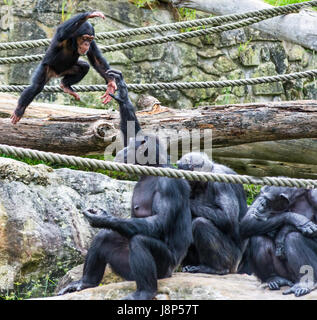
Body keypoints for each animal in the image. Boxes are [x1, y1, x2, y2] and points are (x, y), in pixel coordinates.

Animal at [58, 69, 193, 300]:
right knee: (105, 238)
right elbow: (132, 127)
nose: (123, 151)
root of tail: (173, 272)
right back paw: (85, 283)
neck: (153, 169)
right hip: (125, 268)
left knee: (140, 241)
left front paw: (103, 218)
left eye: (132, 147)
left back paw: (144, 292)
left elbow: (160, 220)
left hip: (164, 268)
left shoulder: (169, 185)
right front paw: (122, 92)